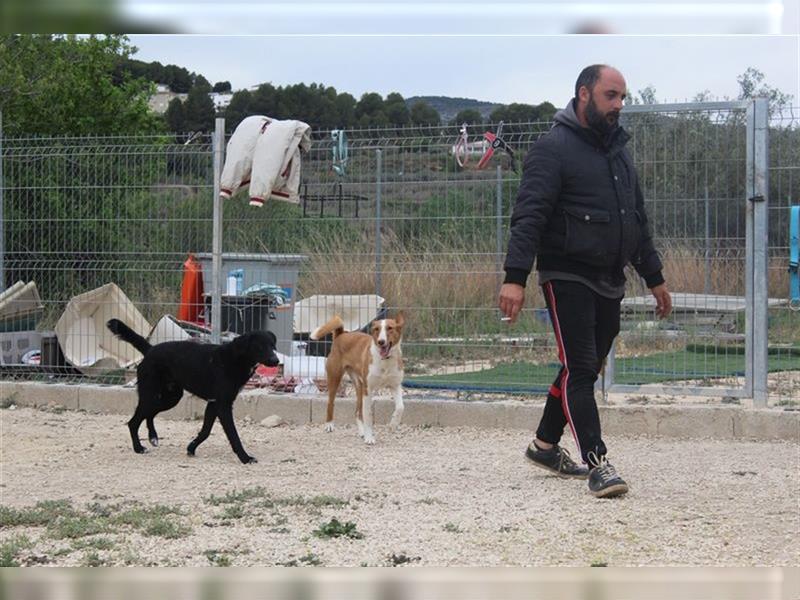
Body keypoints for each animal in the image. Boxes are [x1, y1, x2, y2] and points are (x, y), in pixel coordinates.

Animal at [106, 318, 282, 464]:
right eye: (259, 346)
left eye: (272, 345)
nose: (276, 360)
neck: (235, 358)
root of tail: (150, 350)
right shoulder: (223, 405)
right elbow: (233, 435)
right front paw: (245, 458)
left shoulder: (214, 404)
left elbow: (205, 431)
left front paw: (191, 447)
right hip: (152, 395)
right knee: (133, 422)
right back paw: (138, 448)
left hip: (170, 397)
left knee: (149, 415)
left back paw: (153, 437)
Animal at [310, 314, 404, 446]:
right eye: (376, 329)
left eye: (390, 328)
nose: (381, 342)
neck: (385, 361)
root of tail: (341, 334)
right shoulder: (368, 390)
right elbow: (368, 416)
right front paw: (369, 438)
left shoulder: (395, 386)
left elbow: (400, 407)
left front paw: (393, 425)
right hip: (335, 378)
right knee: (330, 403)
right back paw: (329, 425)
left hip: (359, 387)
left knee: (357, 412)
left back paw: (362, 432)